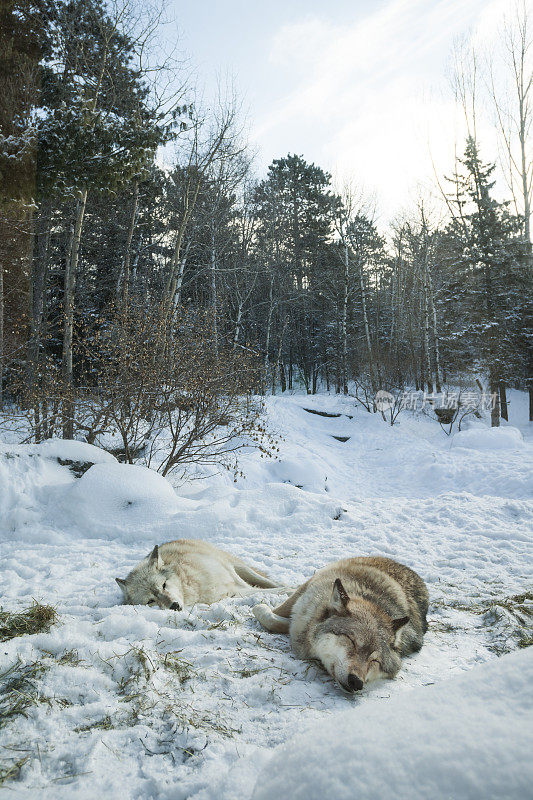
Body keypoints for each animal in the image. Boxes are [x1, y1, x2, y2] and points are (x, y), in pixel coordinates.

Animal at [115, 540, 280, 608]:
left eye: (164, 585)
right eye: (150, 601)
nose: (174, 606)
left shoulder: (233, 579)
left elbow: (277, 589)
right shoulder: (232, 593)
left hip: (238, 566)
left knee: (270, 582)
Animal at [252, 556, 428, 692]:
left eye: (375, 661)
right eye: (351, 641)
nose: (357, 682)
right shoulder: (304, 595)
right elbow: (273, 616)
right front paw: (262, 607)